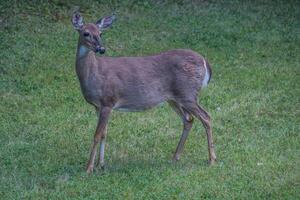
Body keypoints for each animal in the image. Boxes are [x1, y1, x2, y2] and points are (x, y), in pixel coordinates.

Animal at [72, 11, 218, 173]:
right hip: (174, 98)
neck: (94, 73)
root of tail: (205, 62)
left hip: (188, 94)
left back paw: (212, 160)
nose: (101, 49)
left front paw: (89, 168)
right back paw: (175, 158)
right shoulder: (98, 106)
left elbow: (97, 135)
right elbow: (104, 133)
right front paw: (101, 164)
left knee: (206, 117)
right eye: (86, 33)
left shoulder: (108, 101)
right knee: (189, 119)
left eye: (100, 33)